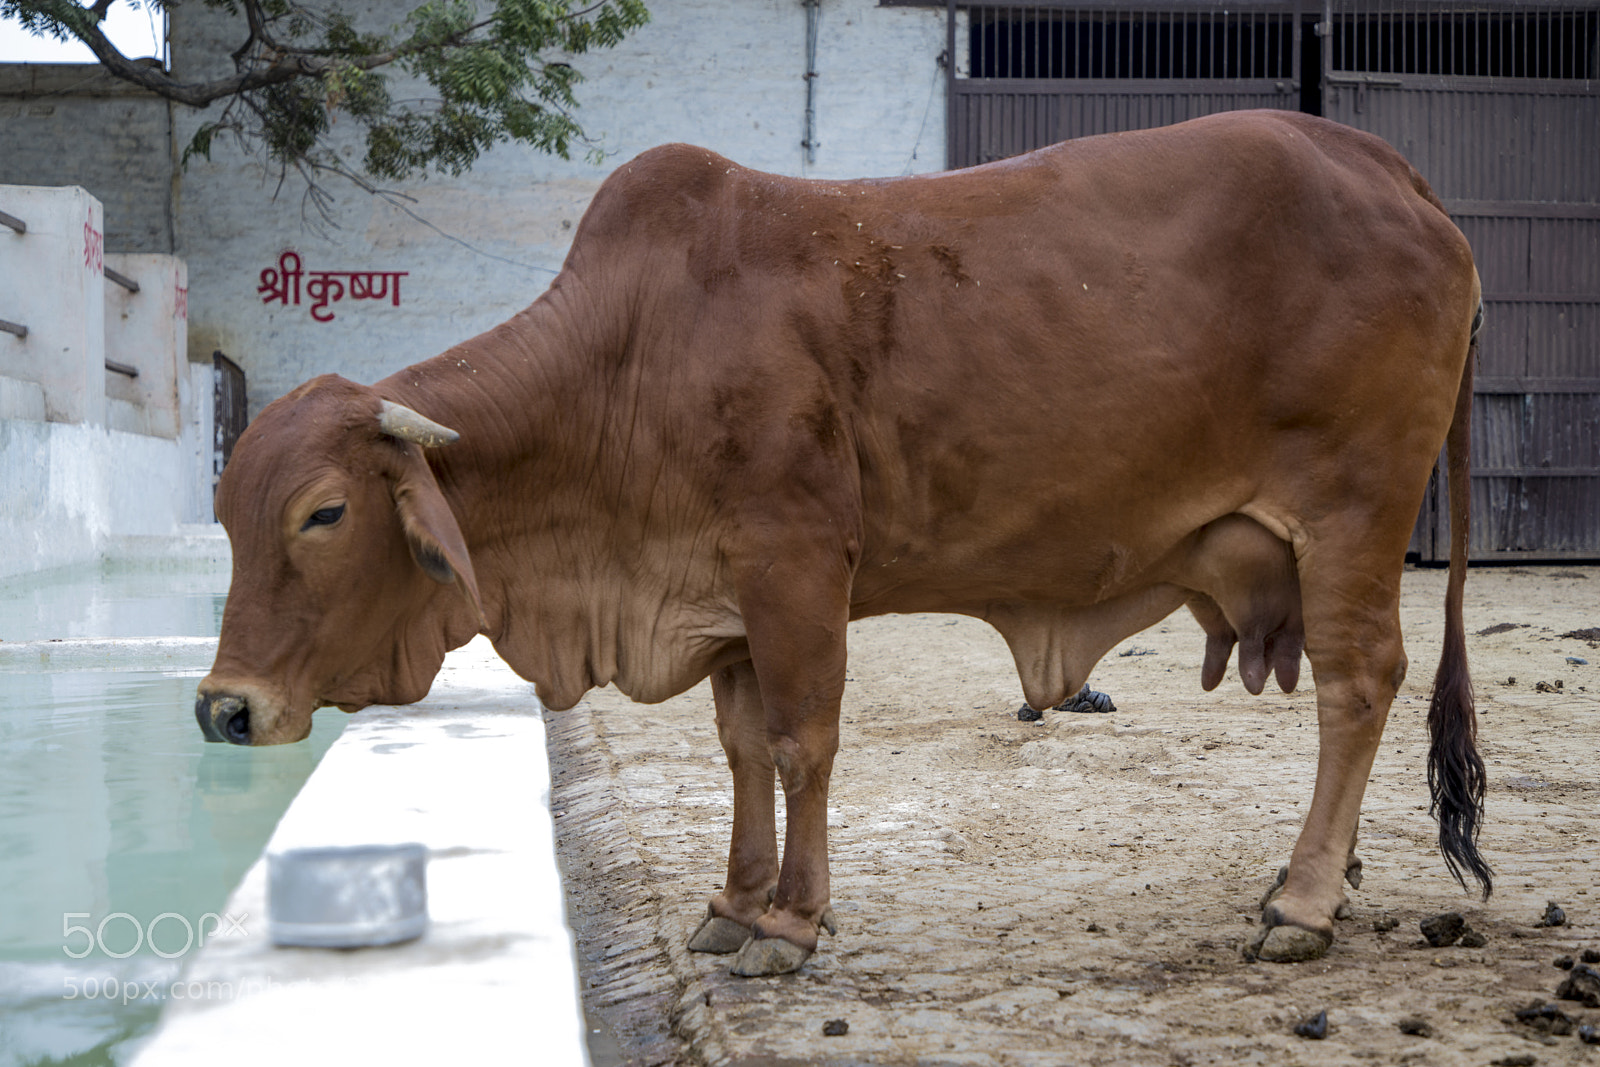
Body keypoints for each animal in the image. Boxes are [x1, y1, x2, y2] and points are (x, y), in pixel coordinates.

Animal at [196, 110, 1489, 976]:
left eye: (323, 511)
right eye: (226, 509)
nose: (222, 708)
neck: (625, 359)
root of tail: (1375, 159)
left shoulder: (797, 568)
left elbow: (801, 741)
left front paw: (789, 920)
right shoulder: (723, 605)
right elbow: (740, 751)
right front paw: (732, 902)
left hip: (1352, 516)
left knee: (1358, 682)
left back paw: (1303, 904)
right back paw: (1319, 877)